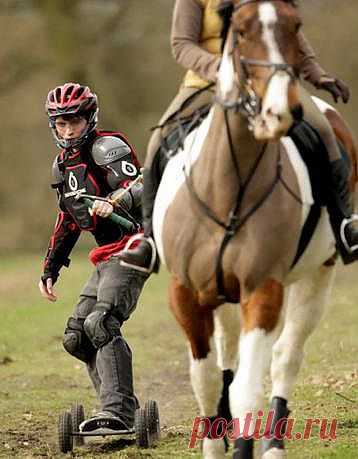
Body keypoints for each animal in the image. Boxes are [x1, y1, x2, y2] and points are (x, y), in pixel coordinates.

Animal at [150, 1, 356, 458]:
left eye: (296, 27)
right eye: (240, 32)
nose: (280, 111)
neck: (231, 188)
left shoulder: (263, 290)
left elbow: (247, 390)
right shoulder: (185, 294)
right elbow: (207, 382)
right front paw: (215, 441)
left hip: (318, 275)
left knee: (285, 358)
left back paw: (274, 444)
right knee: (227, 356)